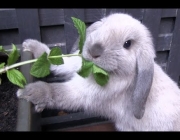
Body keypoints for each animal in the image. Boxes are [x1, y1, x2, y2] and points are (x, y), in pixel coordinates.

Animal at [15, 12, 180, 131]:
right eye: (102, 26)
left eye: (127, 44)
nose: (94, 50)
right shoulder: (73, 64)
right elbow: (56, 61)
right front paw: (30, 45)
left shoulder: (84, 93)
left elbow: (57, 91)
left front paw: (29, 92)